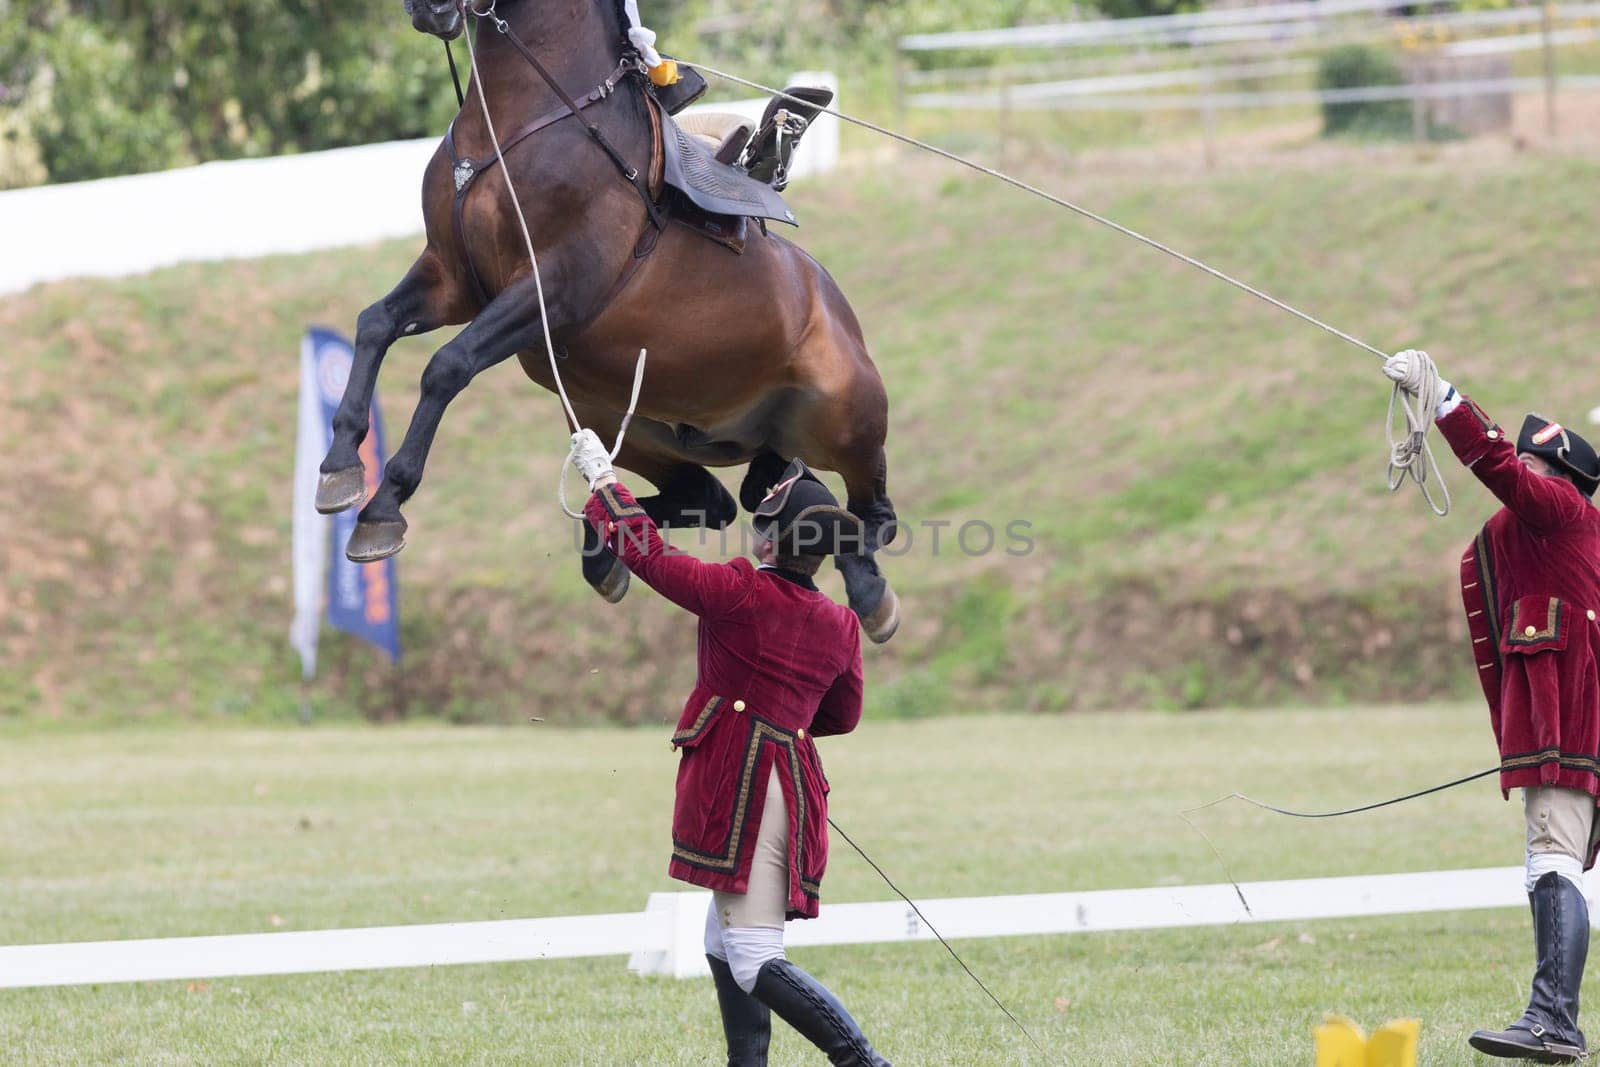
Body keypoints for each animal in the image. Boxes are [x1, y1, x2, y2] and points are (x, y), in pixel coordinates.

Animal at [315, 0, 902, 633]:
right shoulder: (453, 281)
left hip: (844, 414)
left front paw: (384, 506)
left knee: (874, 515)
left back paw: (867, 587)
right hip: (631, 420)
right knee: (713, 499)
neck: (523, 123)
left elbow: (447, 365)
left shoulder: (556, 287)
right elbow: (375, 324)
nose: (429, 10)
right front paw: (339, 467)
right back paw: (609, 551)